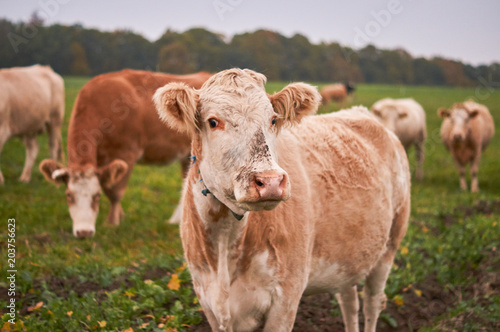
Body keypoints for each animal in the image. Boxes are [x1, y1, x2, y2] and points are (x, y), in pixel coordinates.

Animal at [39, 69, 211, 239]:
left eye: (96, 196)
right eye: (68, 195)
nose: (84, 233)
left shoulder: (127, 153)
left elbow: (115, 192)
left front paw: (112, 223)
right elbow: (108, 186)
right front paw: (119, 216)